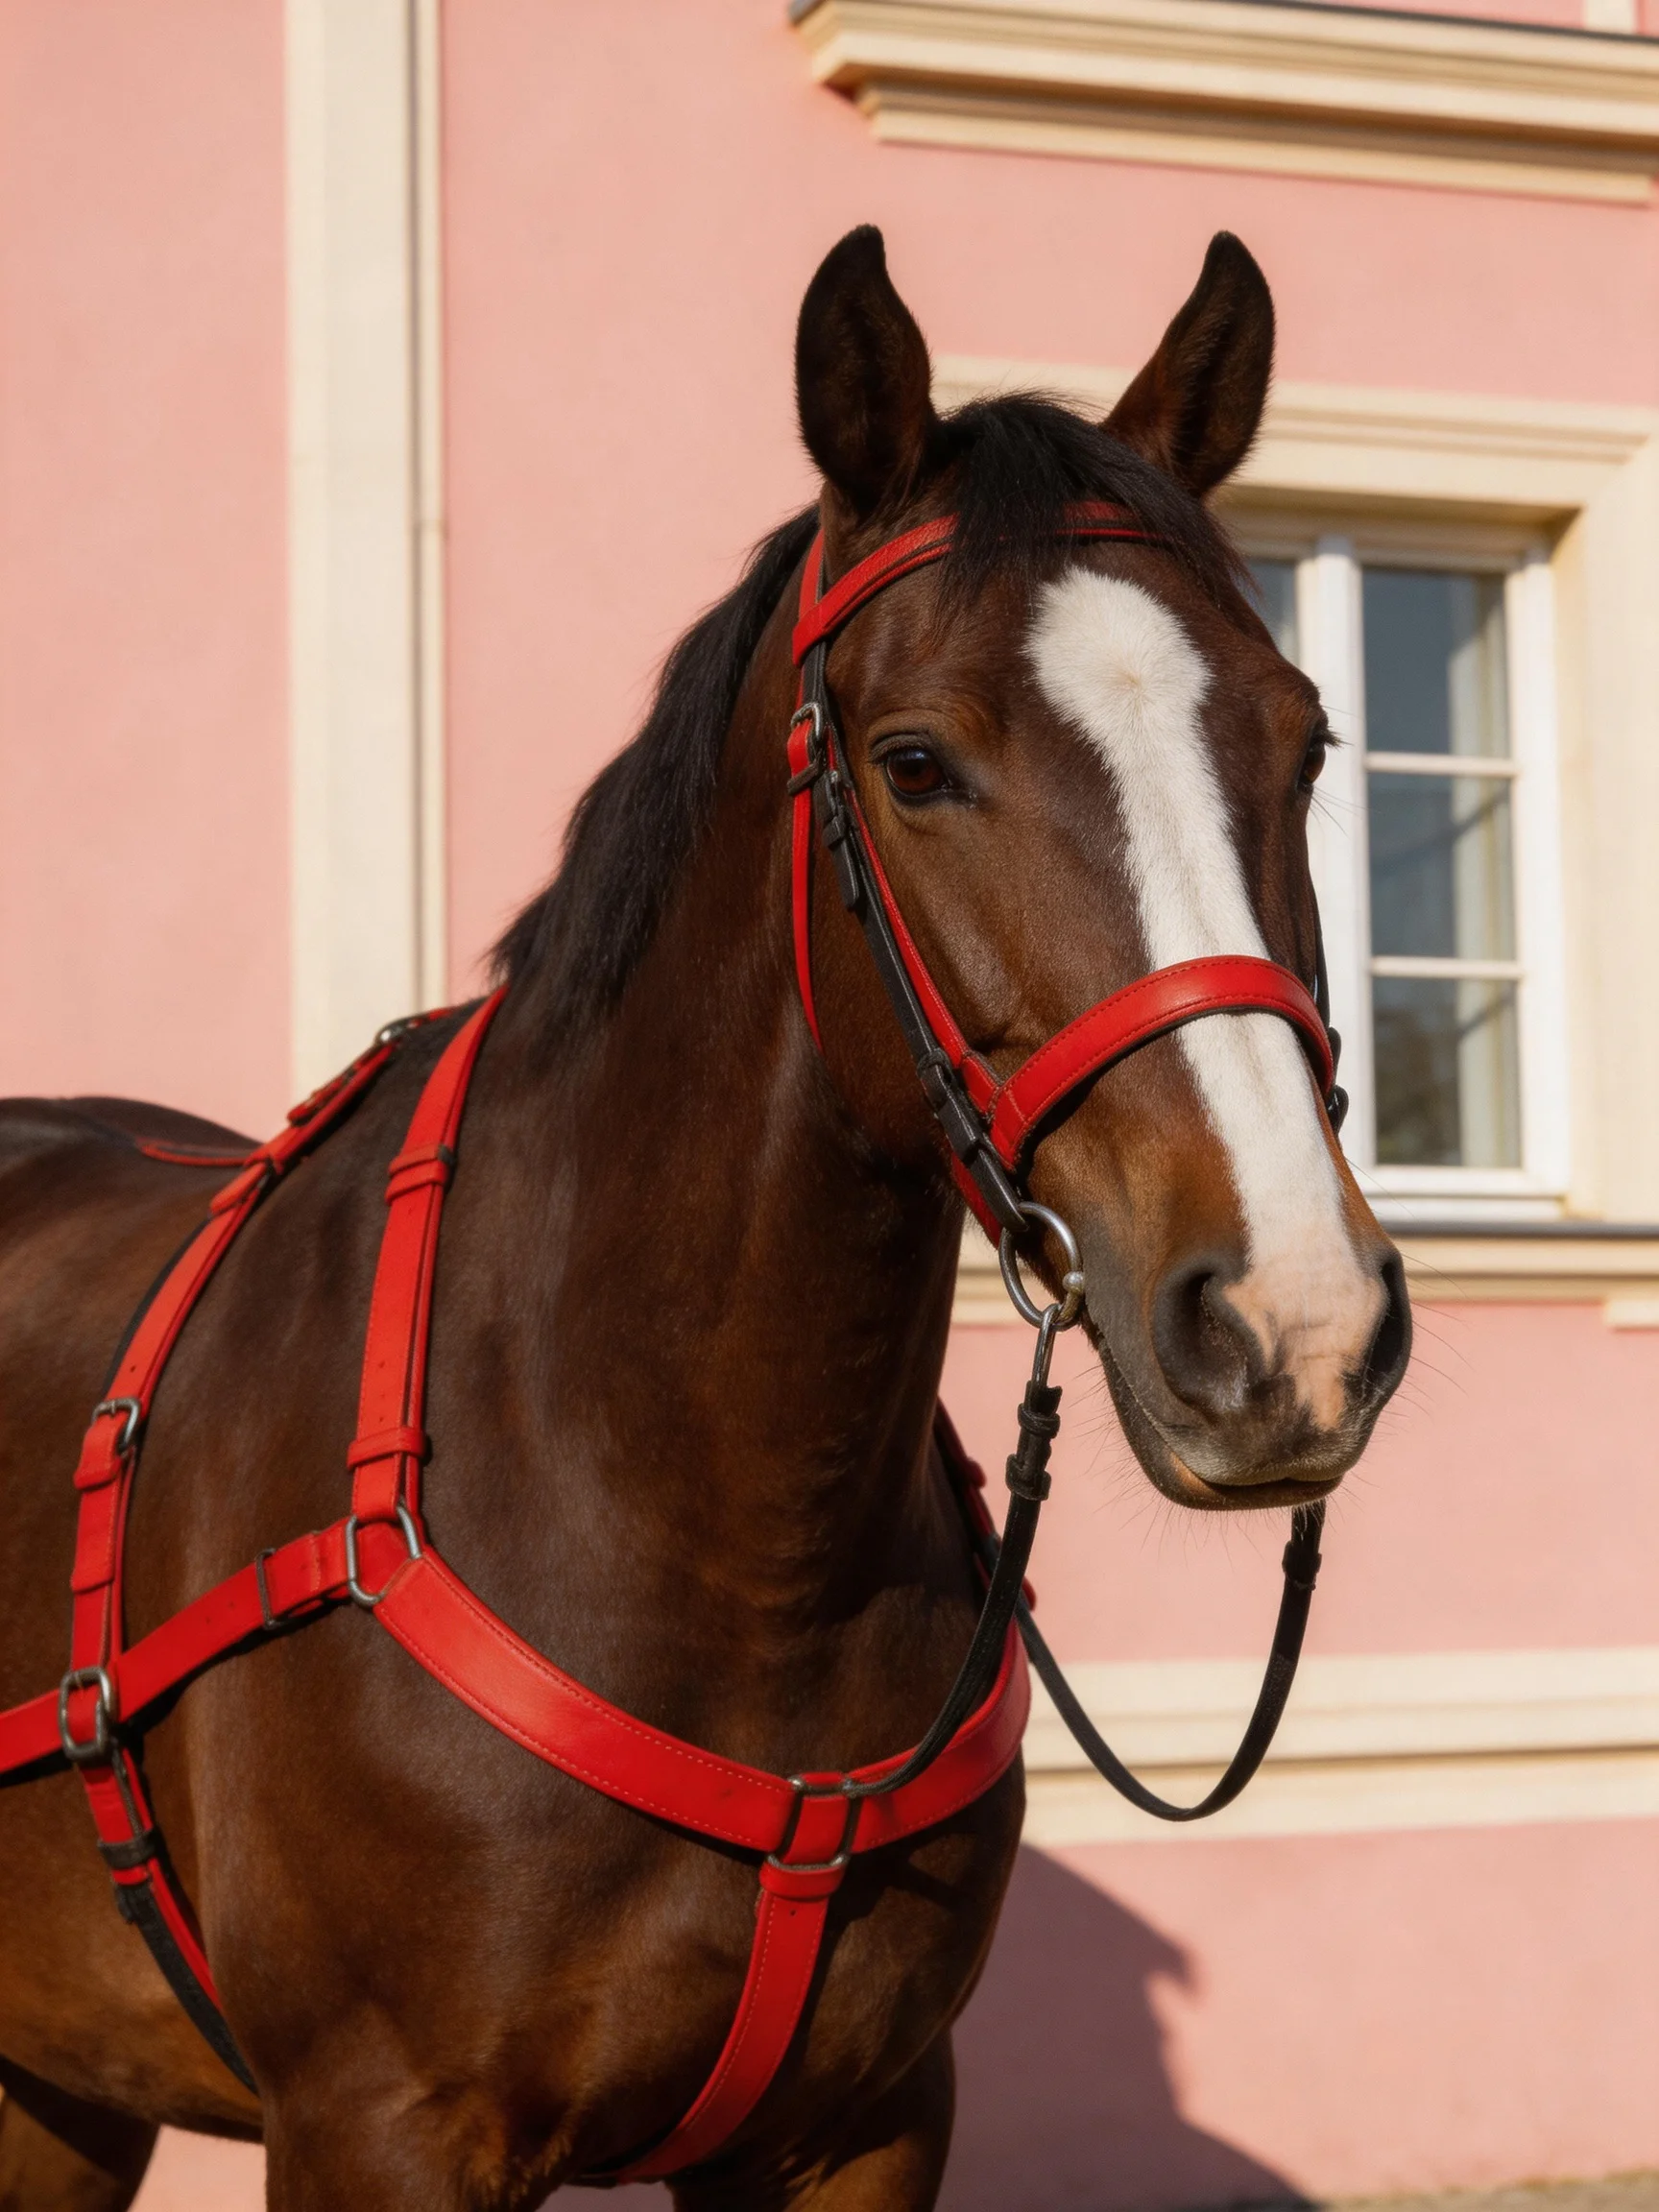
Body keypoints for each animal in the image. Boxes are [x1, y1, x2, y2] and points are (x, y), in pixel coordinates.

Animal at [0, 226, 1409, 2210]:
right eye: (913, 760)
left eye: (1306, 739)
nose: (1292, 1322)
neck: (696, 1526)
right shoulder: (372, 2130)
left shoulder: (859, 2122)